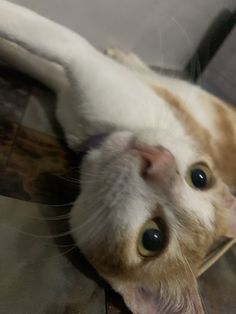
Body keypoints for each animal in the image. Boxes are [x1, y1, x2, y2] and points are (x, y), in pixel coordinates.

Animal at [0, 1, 235, 312]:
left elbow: (53, 39)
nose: (158, 160)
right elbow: (40, 51)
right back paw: (125, 55)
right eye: (199, 176)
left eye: (152, 238)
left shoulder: (85, 64)